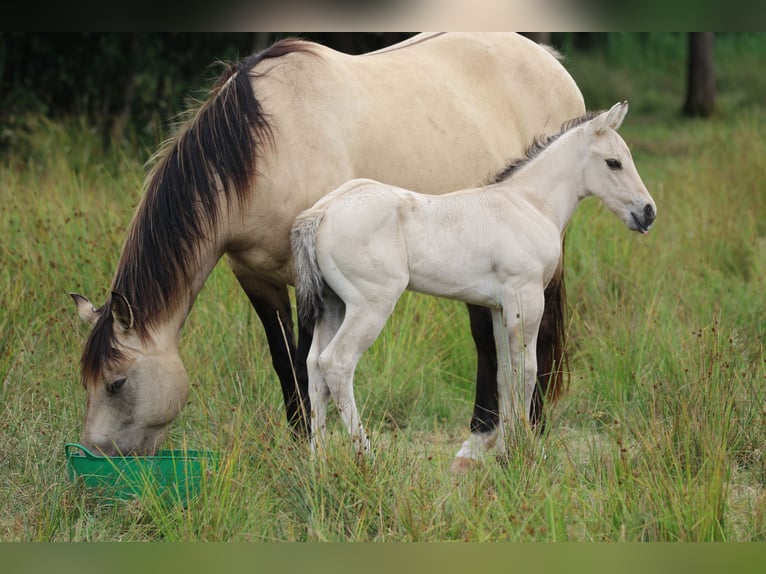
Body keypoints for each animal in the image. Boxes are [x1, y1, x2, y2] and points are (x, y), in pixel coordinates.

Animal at [70, 33, 585, 459]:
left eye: (116, 383)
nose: (98, 455)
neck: (266, 149)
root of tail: (549, 59)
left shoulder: (307, 283)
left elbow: (305, 362)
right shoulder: (255, 278)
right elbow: (285, 363)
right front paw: (301, 444)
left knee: (529, 340)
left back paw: (520, 433)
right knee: (488, 338)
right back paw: (483, 440)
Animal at [291, 102, 656, 458]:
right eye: (613, 162)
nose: (648, 212)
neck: (529, 204)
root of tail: (322, 211)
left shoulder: (499, 307)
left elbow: (504, 374)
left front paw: (505, 447)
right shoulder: (526, 298)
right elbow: (525, 372)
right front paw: (520, 451)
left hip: (334, 305)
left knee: (314, 367)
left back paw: (319, 460)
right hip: (371, 305)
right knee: (336, 363)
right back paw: (366, 456)